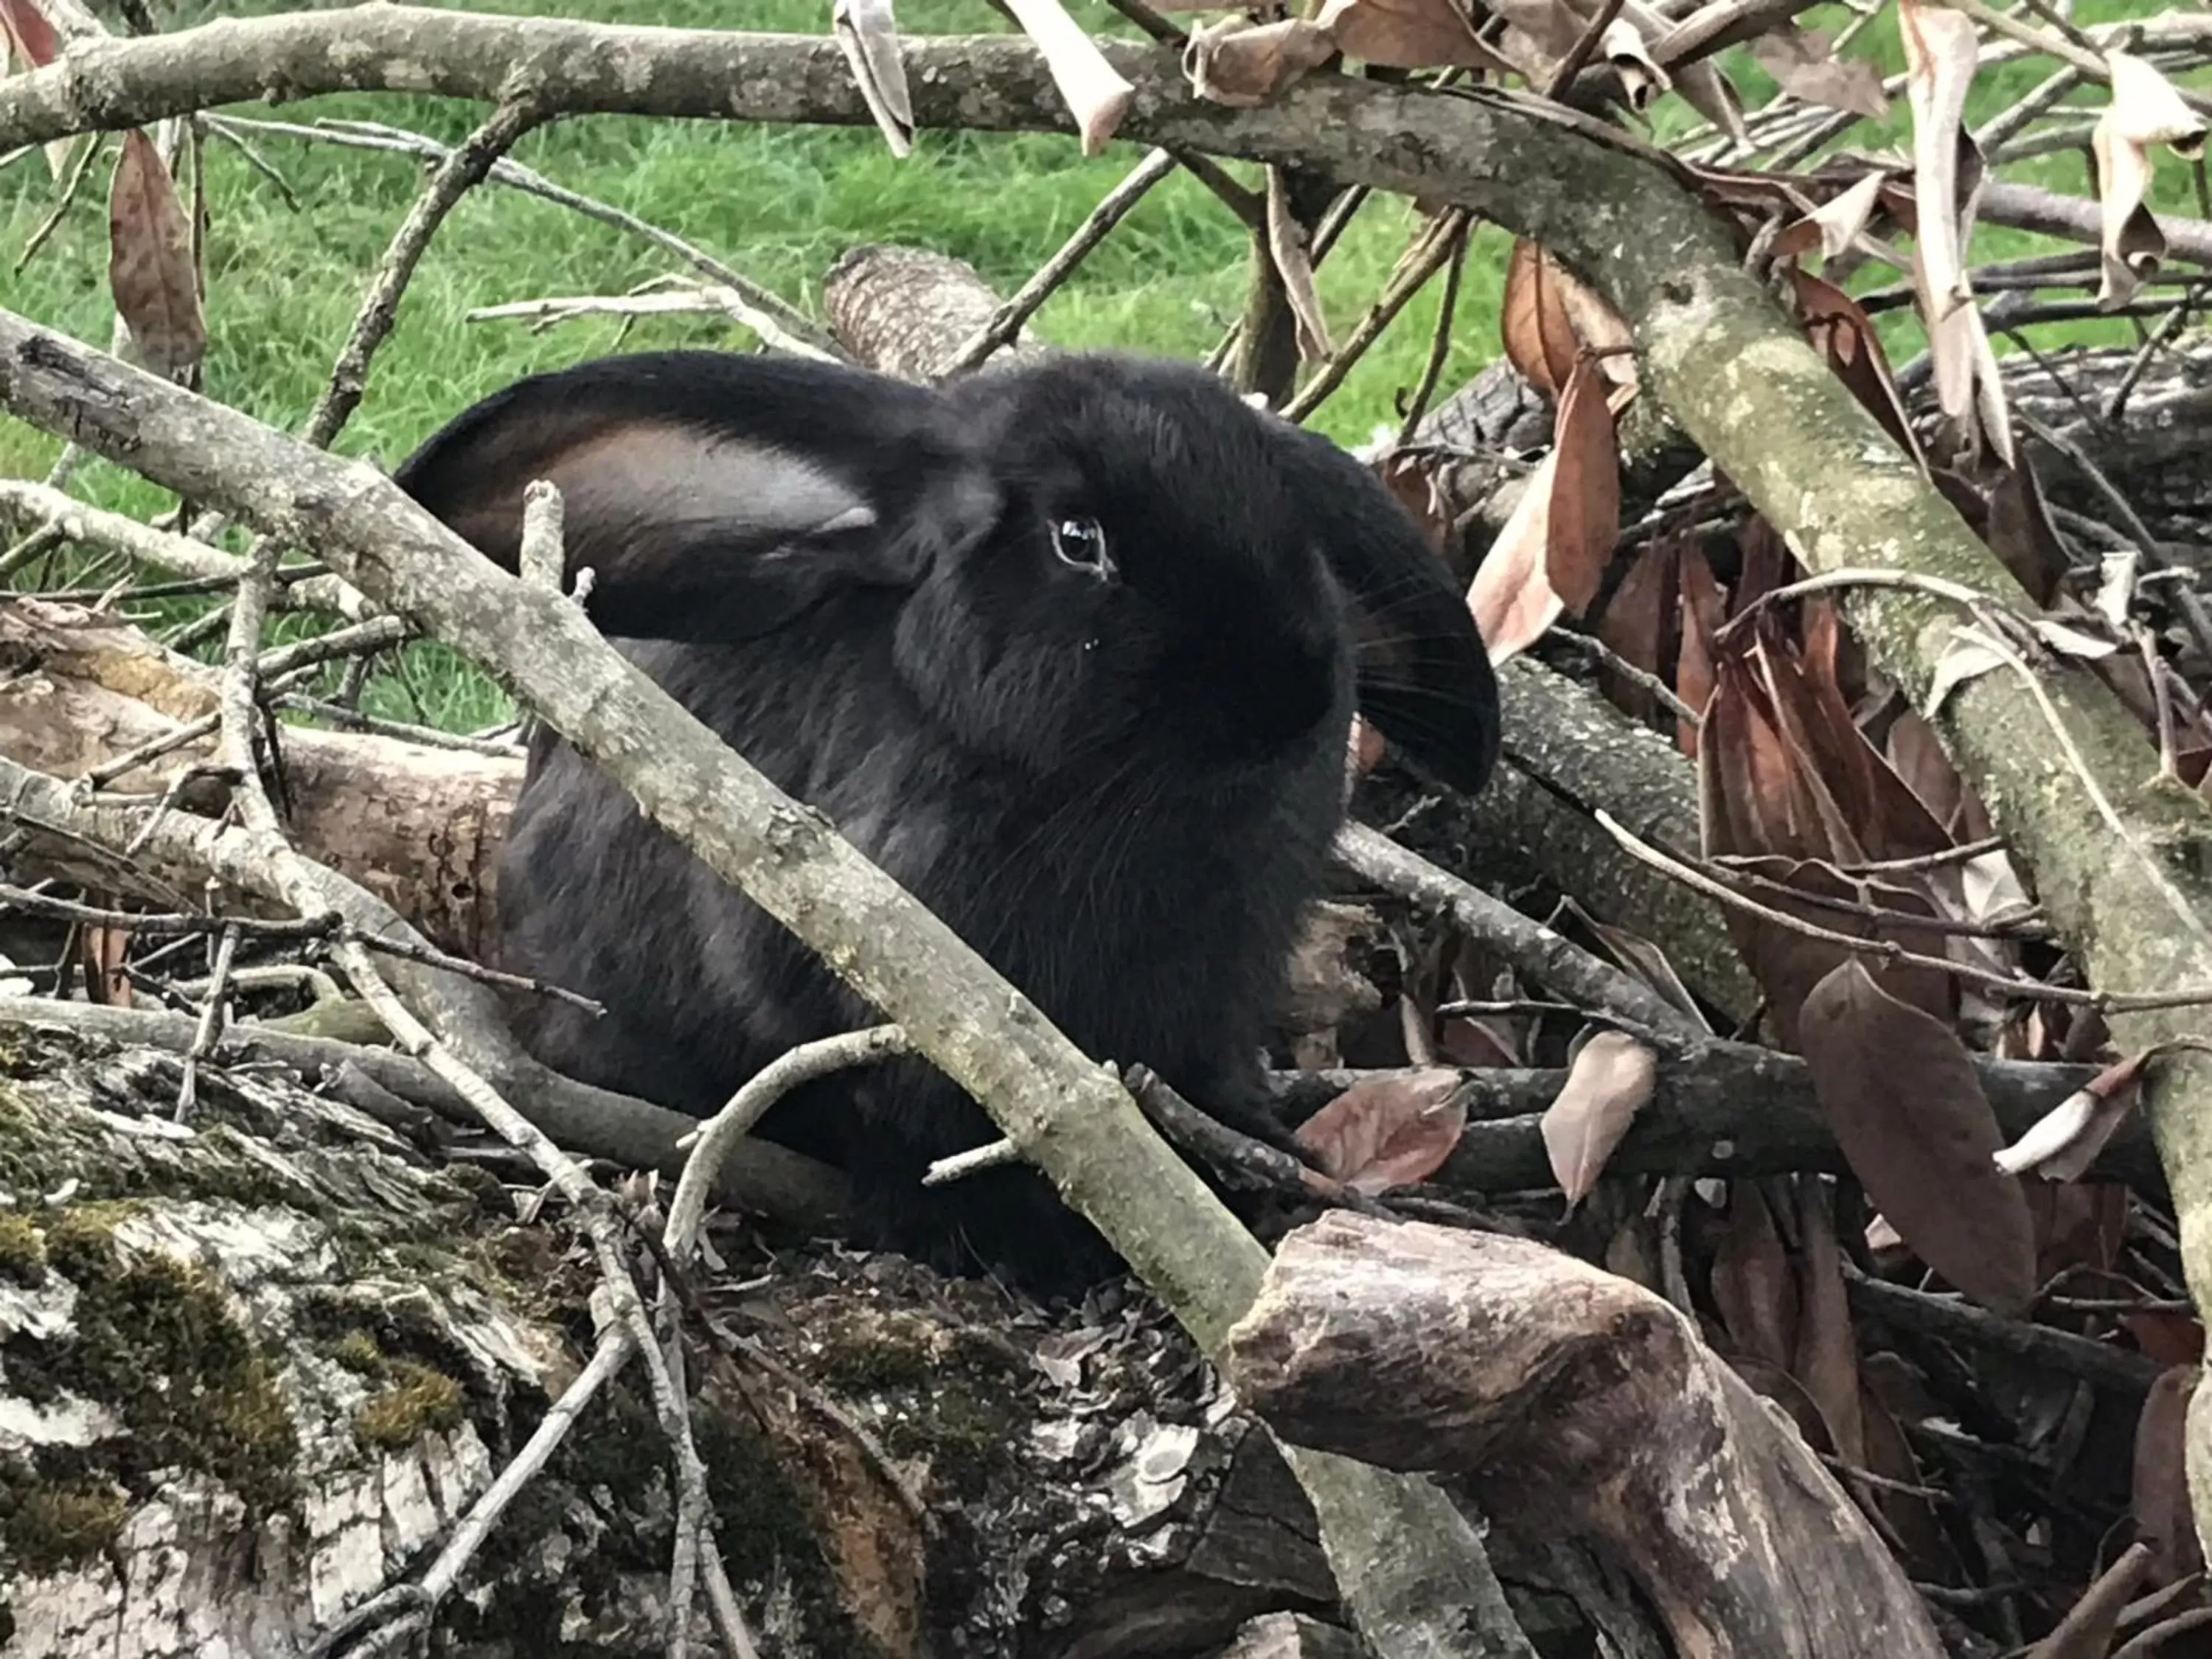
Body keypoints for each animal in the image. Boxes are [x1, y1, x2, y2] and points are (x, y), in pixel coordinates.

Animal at [398, 347, 1504, 1283]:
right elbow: (906, 1124)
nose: (1292, 694)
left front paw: (1259, 1159)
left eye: (1289, 511)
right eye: (1078, 540)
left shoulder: (1215, 993)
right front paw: (1017, 1242)